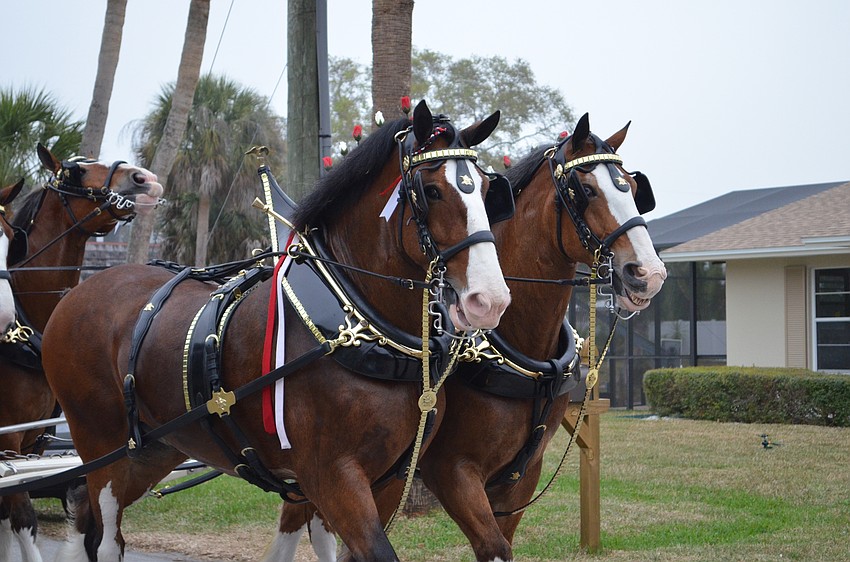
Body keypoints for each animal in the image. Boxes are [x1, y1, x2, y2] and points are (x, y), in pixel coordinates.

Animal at [0, 144, 163, 562]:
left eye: (10, 238)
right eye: (75, 172)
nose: (145, 179)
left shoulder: (32, 441)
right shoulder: (8, 442)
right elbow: (23, 518)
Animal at [38, 100, 512, 562]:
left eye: (487, 191)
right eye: (431, 191)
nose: (489, 300)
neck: (359, 322)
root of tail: (76, 293)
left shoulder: (393, 476)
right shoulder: (331, 475)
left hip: (154, 448)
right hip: (101, 445)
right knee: (106, 538)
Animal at [266, 113, 667, 562]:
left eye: (632, 187)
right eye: (586, 190)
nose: (648, 273)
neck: (512, 340)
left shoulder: (521, 477)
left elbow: (503, 541)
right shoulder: (451, 469)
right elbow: (491, 544)